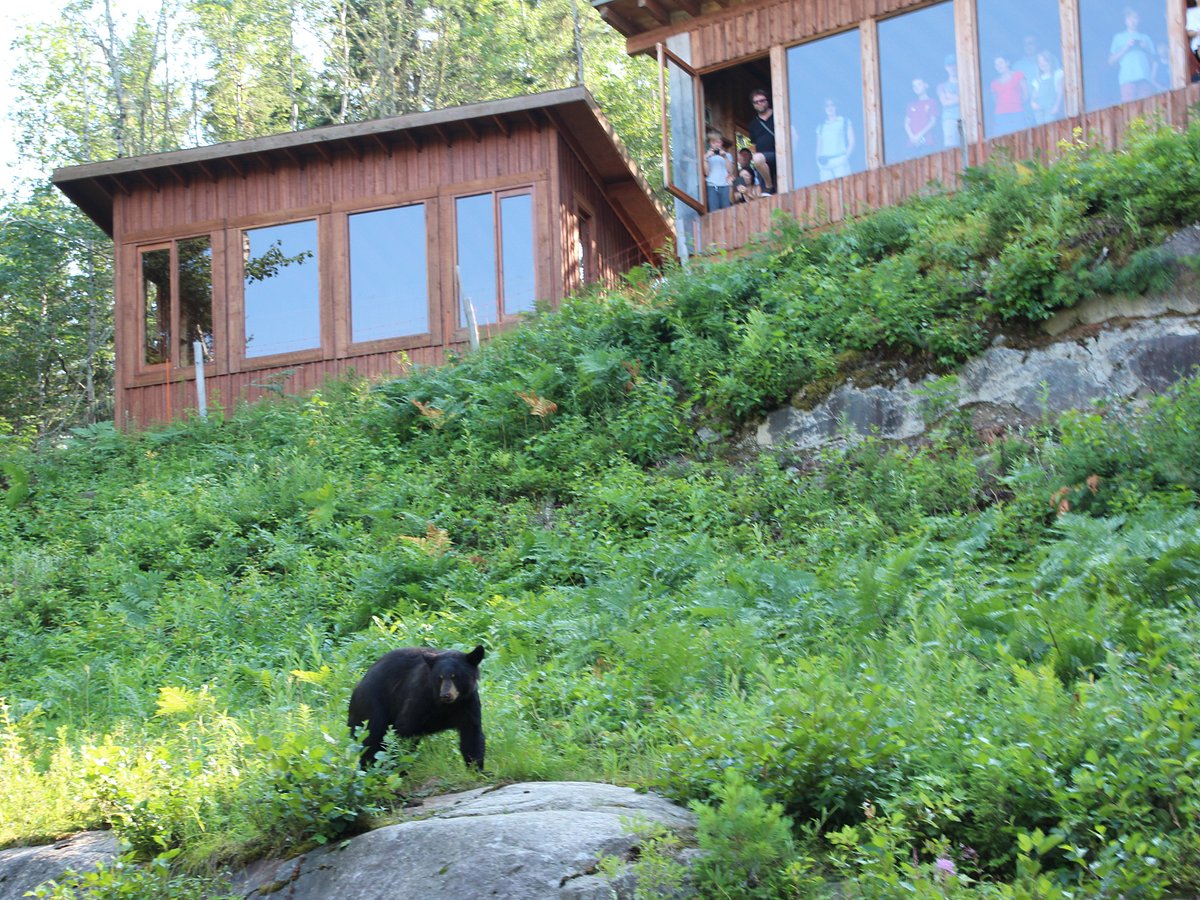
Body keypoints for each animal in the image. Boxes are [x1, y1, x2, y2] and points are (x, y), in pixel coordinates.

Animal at [348, 643, 482, 772]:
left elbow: (471, 735)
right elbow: (405, 727)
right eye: (440, 677)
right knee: (370, 735)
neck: (448, 705)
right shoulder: (420, 697)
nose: (445, 695)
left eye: (455, 676)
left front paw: (476, 770)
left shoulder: (467, 702)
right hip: (372, 704)